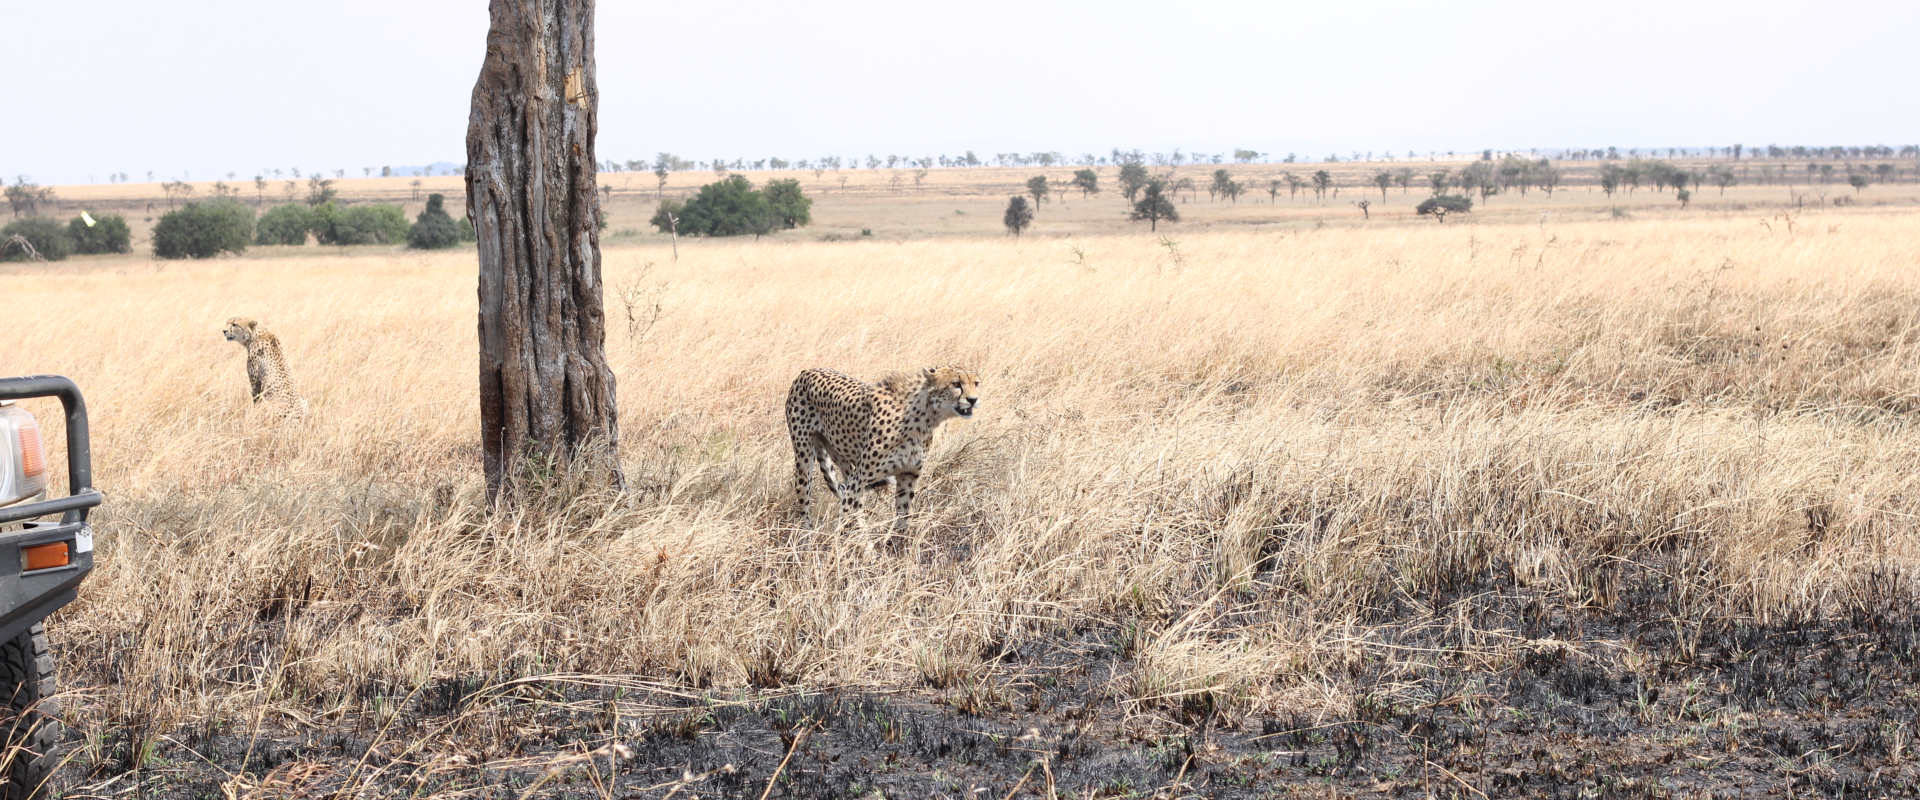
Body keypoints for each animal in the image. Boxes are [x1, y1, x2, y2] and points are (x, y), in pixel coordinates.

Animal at [787, 366, 983, 529]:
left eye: (976, 383)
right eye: (956, 384)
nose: (973, 400)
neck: (925, 417)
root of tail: (806, 371)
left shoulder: (907, 476)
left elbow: (902, 519)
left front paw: (898, 548)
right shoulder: (860, 480)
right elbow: (846, 521)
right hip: (804, 461)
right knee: (805, 506)